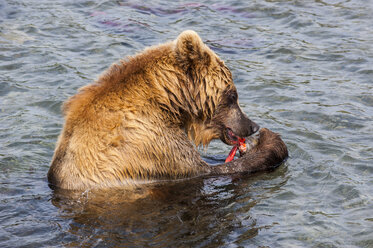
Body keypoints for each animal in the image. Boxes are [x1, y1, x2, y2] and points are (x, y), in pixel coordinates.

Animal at [48, 31, 286, 190]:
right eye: (233, 95)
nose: (252, 126)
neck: (168, 102)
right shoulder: (149, 144)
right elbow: (209, 170)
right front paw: (270, 142)